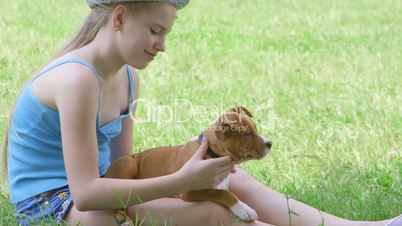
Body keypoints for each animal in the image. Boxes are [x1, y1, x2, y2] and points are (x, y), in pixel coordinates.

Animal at [105, 107, 272, 222]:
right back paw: (122, 218)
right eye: (248, 134)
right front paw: (244, 209)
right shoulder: (190, 192)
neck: (211, 153)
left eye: (255, 129)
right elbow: (220, 193)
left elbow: (222, 190)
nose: (270, 143)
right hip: (127, 163)